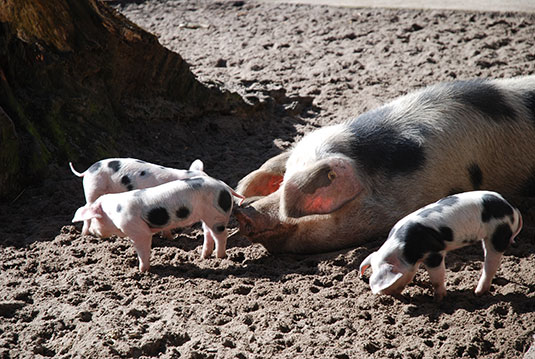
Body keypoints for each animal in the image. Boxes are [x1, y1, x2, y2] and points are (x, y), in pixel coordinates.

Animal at [72, 176, 246, 272]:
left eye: (95, 218)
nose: (93, 232)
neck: (114, 212)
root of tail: (225, 187)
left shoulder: (138, 231)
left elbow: (143, 249)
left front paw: (142, 271)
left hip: (217, 215)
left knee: (221, 234)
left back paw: (219, 257)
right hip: (207, 216)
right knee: (208, 233)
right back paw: (203, 256)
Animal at [358, 191, 520, 300]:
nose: (383, 295)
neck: (403, 249)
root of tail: (512, 208)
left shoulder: (434, 252)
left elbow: (437, 276)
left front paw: (438, 299)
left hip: (497, 233)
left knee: (491, 262)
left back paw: (477, 293)